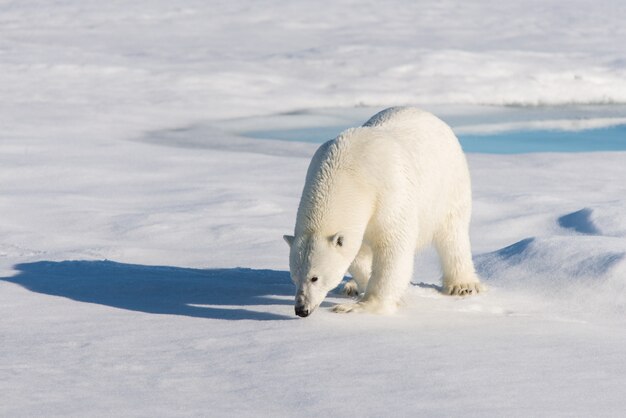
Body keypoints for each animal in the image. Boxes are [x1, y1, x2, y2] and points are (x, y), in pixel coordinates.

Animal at [282, 107, 482, 316]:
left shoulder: (389, 192)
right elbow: (357, 252)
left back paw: (463, 286)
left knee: (452, 234)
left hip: (449, 185)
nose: (301, 309)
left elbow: (393, 246)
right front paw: (362, 286)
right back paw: (351, 287)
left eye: (315, 278)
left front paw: (360, 305)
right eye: (294, 277)